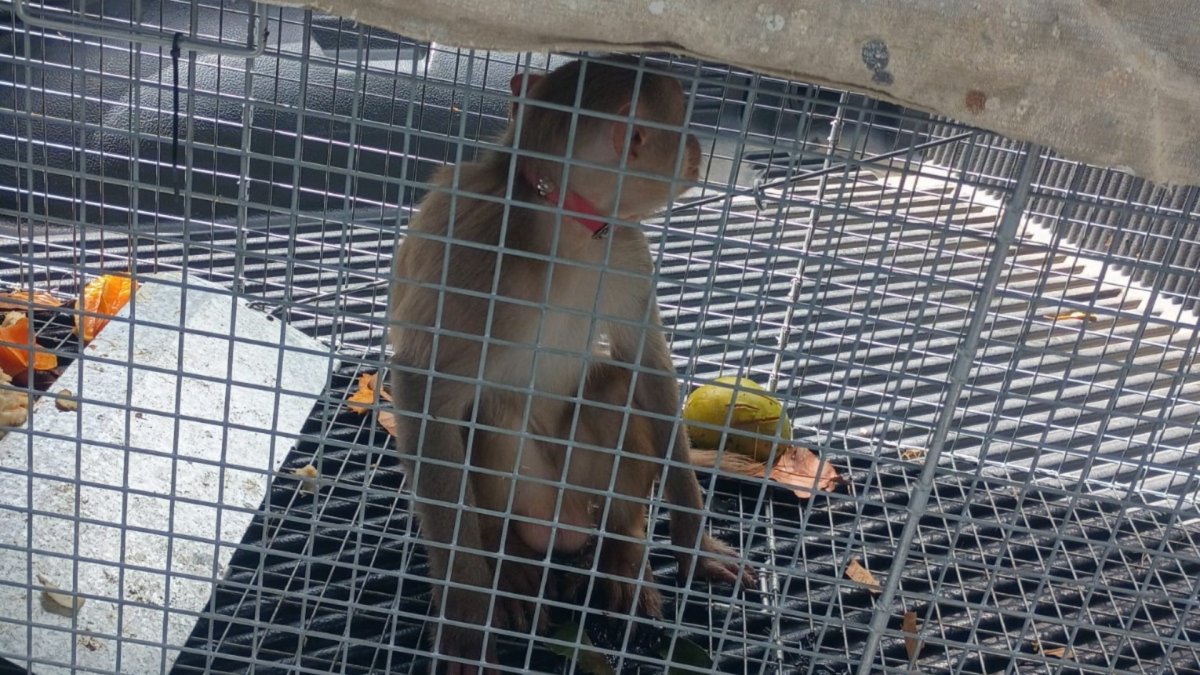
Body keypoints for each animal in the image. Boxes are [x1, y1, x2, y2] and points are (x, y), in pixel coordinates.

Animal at [388, 56, 754, 674]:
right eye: (680, 123)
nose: (697, 150)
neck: (565, 222)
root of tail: (563, 529)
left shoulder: (625, 251)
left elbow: (648, 369)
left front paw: (694, 543)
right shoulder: (474, 253)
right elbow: (424, 387)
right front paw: (465, 621)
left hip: (584, 491)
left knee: (613, 391)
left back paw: (621, 553)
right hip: (530, 494)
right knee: (480, 411)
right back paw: (510, 562)